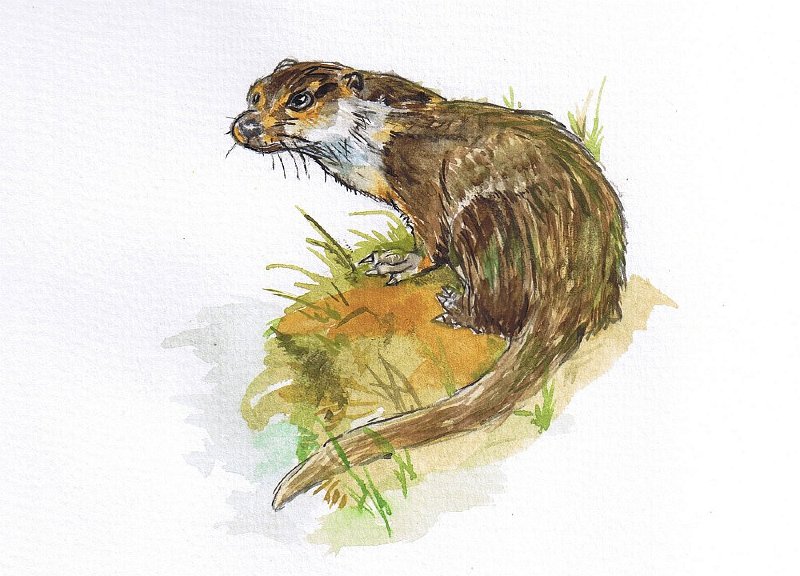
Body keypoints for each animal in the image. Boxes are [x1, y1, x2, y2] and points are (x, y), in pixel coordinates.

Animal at [230, 58, 626, 510]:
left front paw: (396, 261)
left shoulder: (419, 180)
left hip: (485, 224)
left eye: (300, 99)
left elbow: (431, 243)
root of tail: (578, 277)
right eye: (255, 95)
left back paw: (457, 308)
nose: (247, 125)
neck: (377, 137)